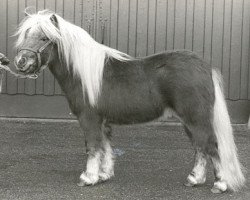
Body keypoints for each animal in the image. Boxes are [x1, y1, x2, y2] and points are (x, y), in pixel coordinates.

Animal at [13, 10, 244, 193]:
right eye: (25, 35)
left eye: (44, 38)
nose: (20, 61)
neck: (83, 73)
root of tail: (205, 67)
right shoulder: (103, 122)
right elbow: (106, 147)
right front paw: (104, 175)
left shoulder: (89, 119)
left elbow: (92, 147)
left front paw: (88, 178)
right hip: (190, 121)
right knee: (200, 147)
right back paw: (194, 179)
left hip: (196, 118)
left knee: (211, 145)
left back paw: (220, 184)